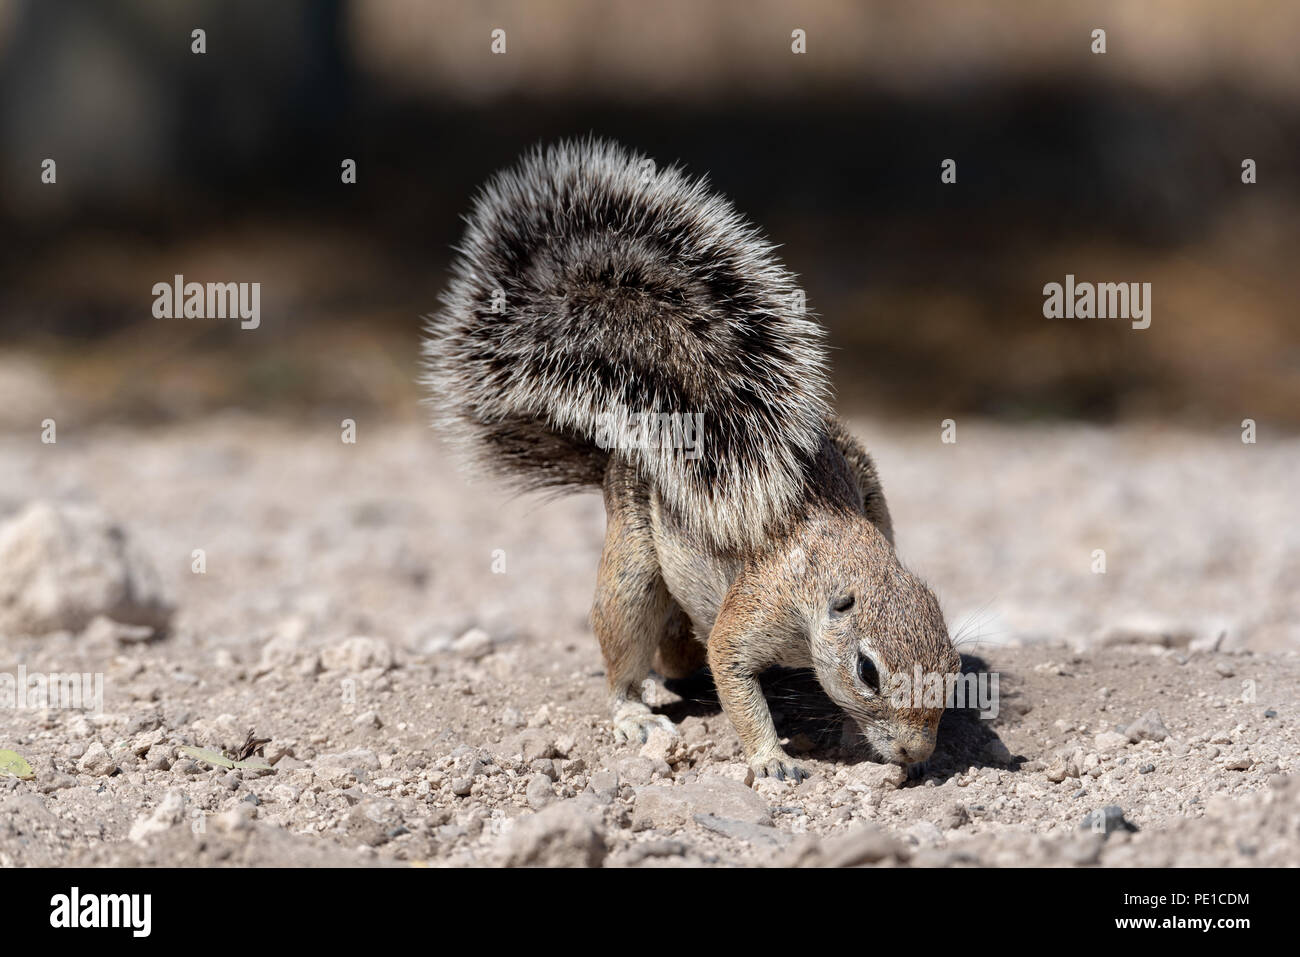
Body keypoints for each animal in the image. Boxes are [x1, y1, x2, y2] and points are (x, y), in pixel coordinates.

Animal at [421, 138, 961, 780]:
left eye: (955, 667)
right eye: (868, 671)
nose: (916, 753)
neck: (837, 562)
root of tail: (618, 447)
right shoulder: (756, 607)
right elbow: (733, 674)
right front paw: (770, 759)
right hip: (632, 570)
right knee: (627, 651)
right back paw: (634, 713)